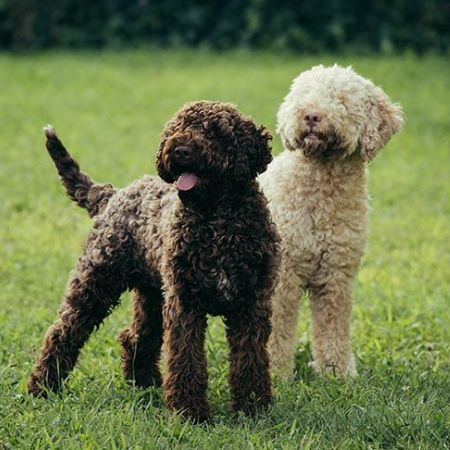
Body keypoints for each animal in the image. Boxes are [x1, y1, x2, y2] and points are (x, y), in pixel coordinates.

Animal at [28, 101, 280, 422]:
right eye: (175, 128)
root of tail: (113, 194)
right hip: (95, 284)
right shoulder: (185, 305)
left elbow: (250, 360)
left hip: (152, 295)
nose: (180, 150)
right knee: (62, 333)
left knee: (135, 337)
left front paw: (252, 409)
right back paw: (42, 386)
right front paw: (189, 413)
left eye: (214, 131)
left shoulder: (251, 305)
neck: (218, 221)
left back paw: (144, 383)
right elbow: (186, 358)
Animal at [260, 65, 404, 378]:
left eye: (341, 100)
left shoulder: (337, 274)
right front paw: (275, 374)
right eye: (304, 94)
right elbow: (276, 330)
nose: (311, 115)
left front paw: (337, 372)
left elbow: (333, 326)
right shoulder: (282, 276)